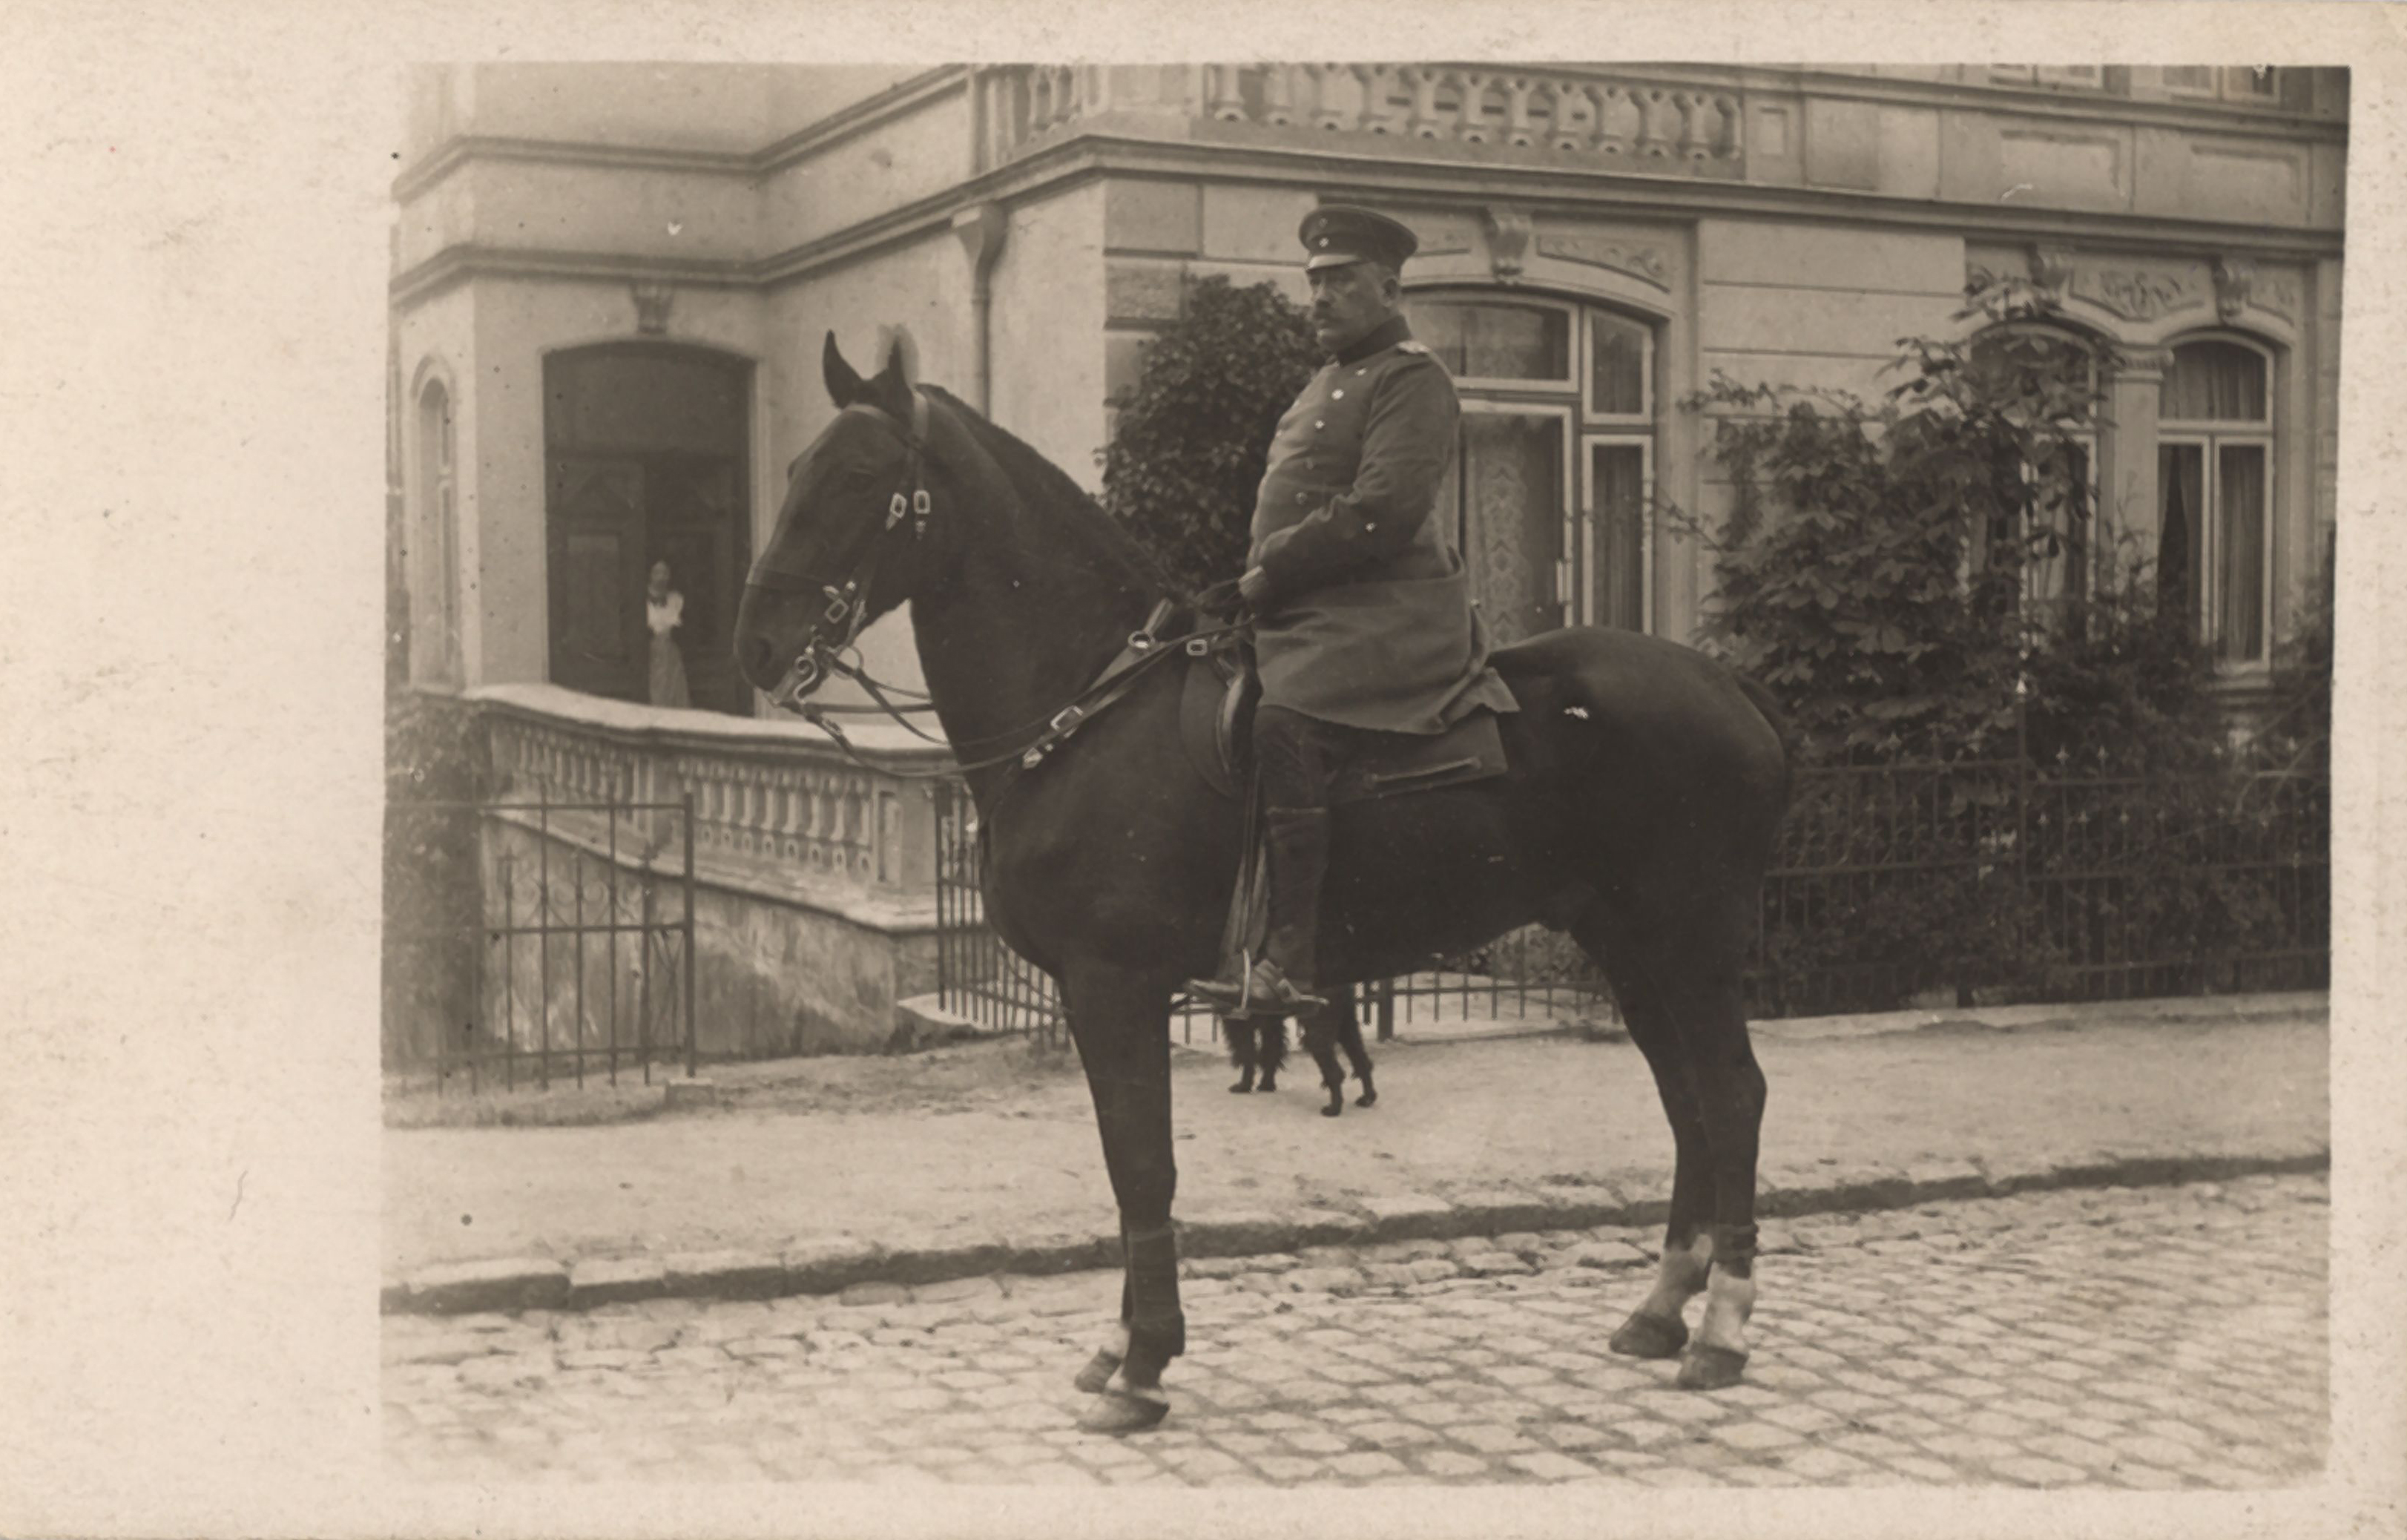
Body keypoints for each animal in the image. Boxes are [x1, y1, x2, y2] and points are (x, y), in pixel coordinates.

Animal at [741, 337, 1800, 1434]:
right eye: (795, 469)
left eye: (856, 476)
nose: (756, 646)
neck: (1088, 707)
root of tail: (1729, 684)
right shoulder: (1100, 994)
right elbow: (1129, 1166)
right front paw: (1123, 1345)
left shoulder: (1113, 984)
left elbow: (1142, 1164)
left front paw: (1145, 1363)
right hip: (1629, 949)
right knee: (1686, 1102)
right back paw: (1661, 1309)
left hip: (1690, 944)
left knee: (1731, 1097)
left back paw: (1721, 1328)